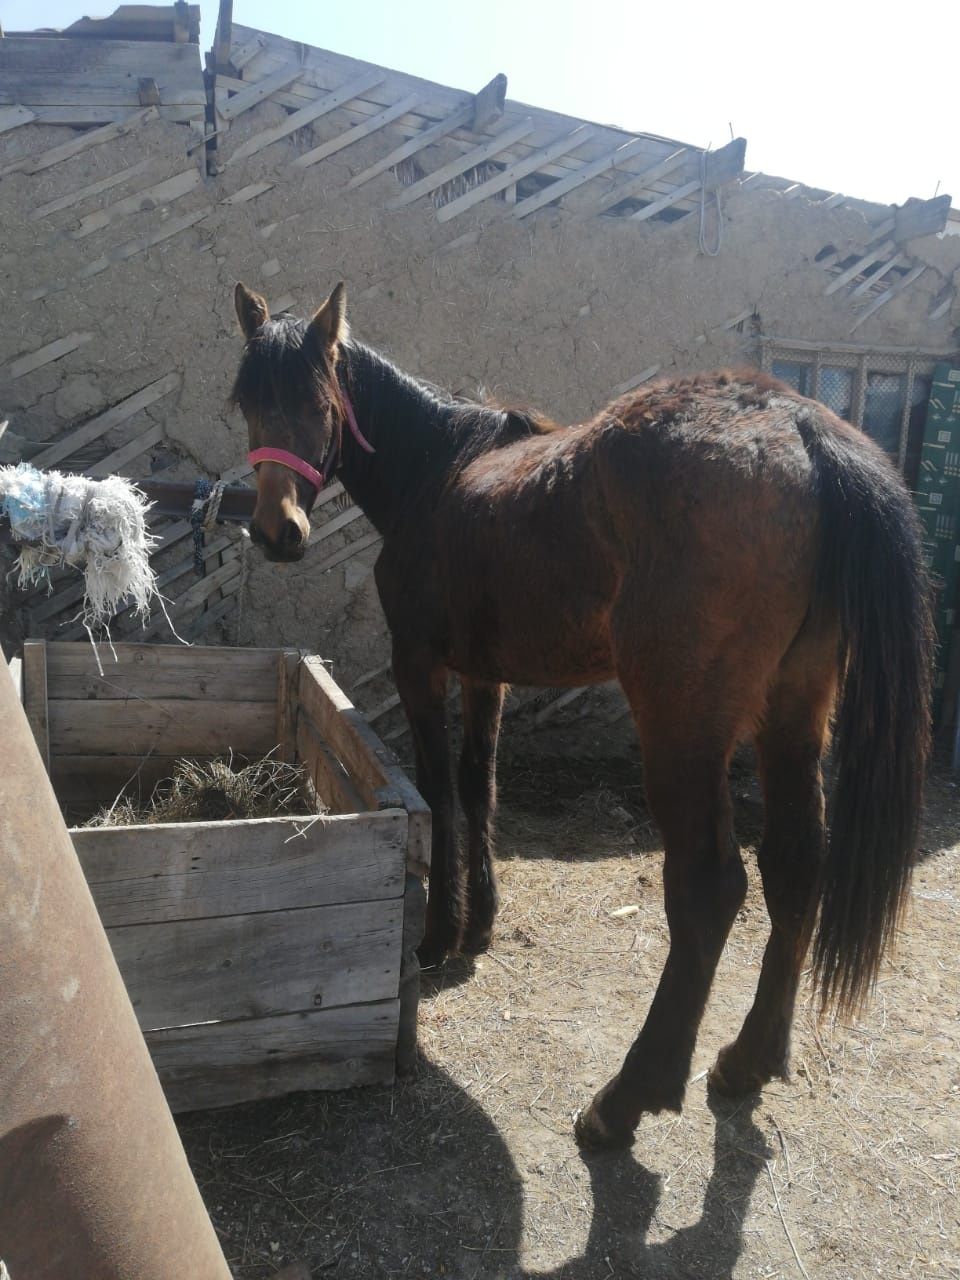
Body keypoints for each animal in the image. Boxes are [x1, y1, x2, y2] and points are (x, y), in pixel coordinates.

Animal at [231, 282, 931, 1152]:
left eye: (319, 401)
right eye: (247, 401)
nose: (276, 531)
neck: (439, 471)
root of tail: (802, 428)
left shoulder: (420, 666)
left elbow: (440, 789)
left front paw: (437, 936)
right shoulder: (485, 674)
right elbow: (481, 784)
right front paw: (480, 926)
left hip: (682, 727)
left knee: (710, 889)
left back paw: (625, 1099)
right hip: (794, 714)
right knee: (796, 866)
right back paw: (748, 1060)